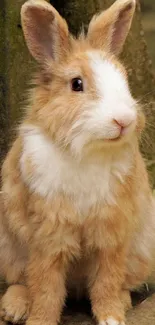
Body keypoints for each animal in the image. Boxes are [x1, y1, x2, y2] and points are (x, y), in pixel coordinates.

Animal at [0, 0, 155, 322]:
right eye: (77, 84)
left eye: (124, 79)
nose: (124, 120)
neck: (87, 150)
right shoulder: (48, 232)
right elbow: (46, 284)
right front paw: (40, 320)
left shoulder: (111, 230)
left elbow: (107, 278)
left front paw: (111, 317)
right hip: (8, 249)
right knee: (21, 281)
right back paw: (14, 308)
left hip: (143, 248)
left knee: (122, 282)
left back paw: (123, 301)